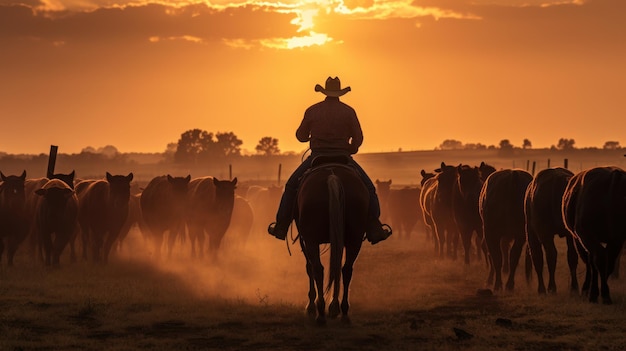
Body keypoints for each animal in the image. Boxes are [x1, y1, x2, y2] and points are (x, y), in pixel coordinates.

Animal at [294, 160, 368, 324]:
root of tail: (332, 177)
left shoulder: (305, 239)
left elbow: (309, 268)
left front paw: (310, 306)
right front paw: (334, 306)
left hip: (311, 239)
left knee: (318, 269)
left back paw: (320, 311)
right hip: (354, 239)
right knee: (346, 269)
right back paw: (343, 311)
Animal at [560, 166, 624, 304]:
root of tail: (614, 176)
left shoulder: (580, 238)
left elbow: (590, 263)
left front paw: (587, 290)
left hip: (587, 235)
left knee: (598, 259)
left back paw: (600, 294)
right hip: (616, 238)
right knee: (607, 261)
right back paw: (603, 293)